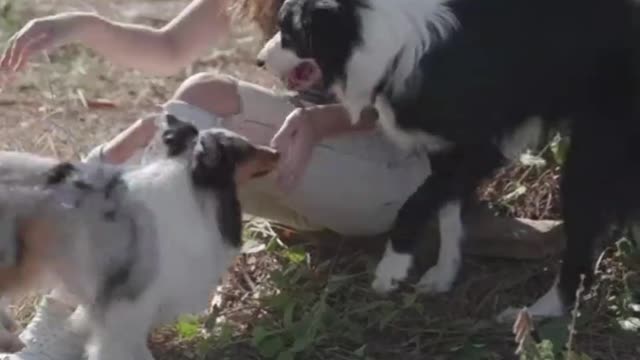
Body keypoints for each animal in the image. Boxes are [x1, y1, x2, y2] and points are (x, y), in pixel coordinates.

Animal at [258, 0, 636, 318]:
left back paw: (537, 312)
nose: (258, 61)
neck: (386, 43)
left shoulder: (482, 144)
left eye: (288, 32)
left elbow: (415, 203)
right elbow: (447, 210)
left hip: (593, 154)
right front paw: (443, 273)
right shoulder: (444, 147)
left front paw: (392, 268)